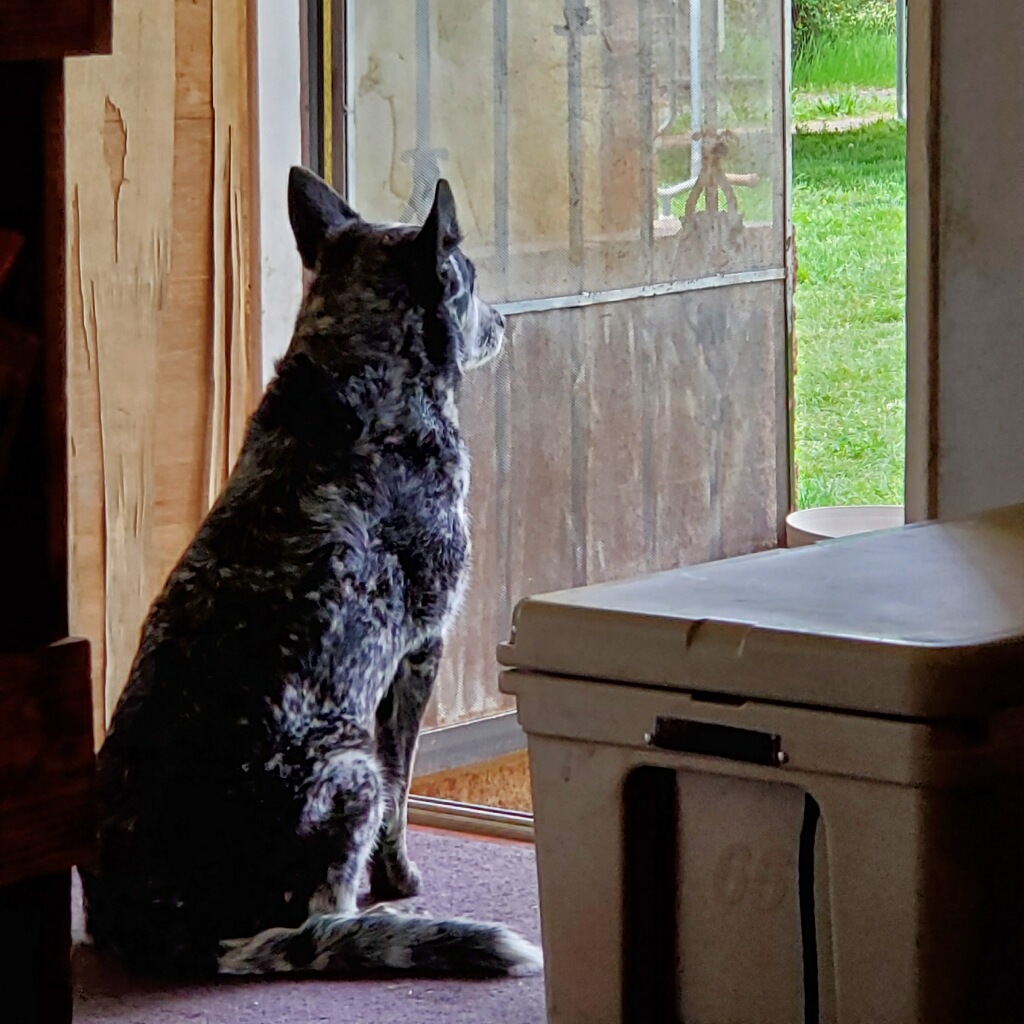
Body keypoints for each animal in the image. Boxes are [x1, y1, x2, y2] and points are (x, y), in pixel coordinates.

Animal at [79, 168, 542, 981]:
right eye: (469, 278)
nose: (503, 323)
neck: (361, 377)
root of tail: (155, 927)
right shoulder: (421, 655)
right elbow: (403, 790)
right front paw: (402, 882)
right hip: (348, 771)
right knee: (323, 914)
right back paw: (377, 923)